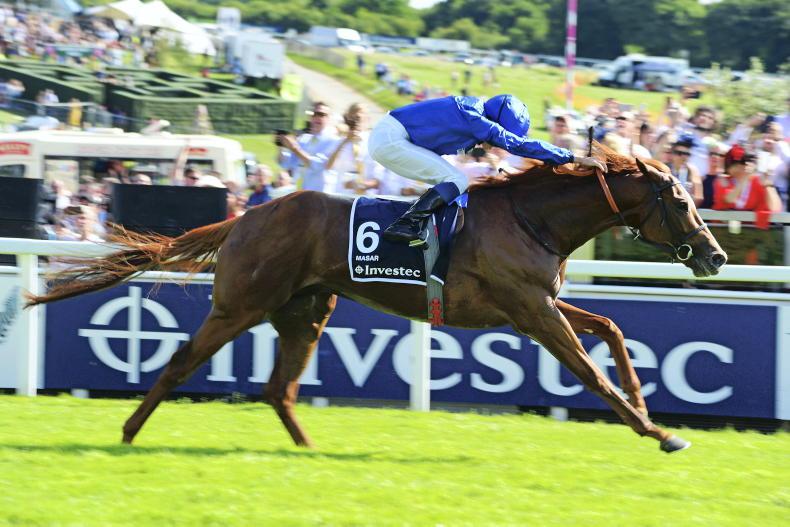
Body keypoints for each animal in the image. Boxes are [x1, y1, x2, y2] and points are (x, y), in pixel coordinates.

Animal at [27, 144, 727, 453]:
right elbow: (589, 371)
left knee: (278, 388)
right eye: (682, 202)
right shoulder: (531, 311)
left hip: (306, 311)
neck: (533, 218)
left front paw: (647, 404)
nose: (716, 255)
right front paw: (657, 430)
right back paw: (127, 431)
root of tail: (248, 214)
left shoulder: (534, 306)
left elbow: (609, 327)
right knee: (178, 363)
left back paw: (309, 449)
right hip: (240, 305)